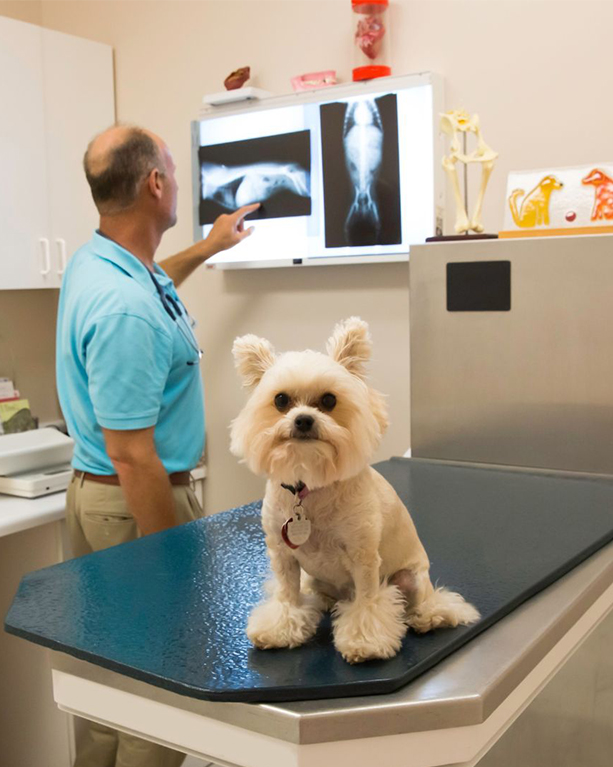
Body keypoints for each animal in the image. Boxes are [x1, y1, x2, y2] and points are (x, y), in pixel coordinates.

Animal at [230, 318, 478, 664]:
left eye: (329, 400)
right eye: (280, 400)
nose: (303, 419)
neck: (311, 488)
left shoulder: (363, 559)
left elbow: (368, 605)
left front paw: (365, 642)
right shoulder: (284, 558)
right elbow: (287, 597)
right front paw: (281, 628)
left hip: (410, 579)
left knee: (430, 604)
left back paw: (426, 618)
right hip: (316, 579)